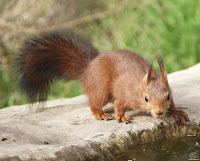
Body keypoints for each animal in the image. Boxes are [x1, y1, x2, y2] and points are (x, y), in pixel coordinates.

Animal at [14, 29, 189, 124]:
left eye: (167, 96)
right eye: (146, 98)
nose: (159, 112)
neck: (140, 86)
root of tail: (87, 69)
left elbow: (173, 104)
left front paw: (176, 112)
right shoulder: (124, 95)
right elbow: (119, 105)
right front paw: (122, 118)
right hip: (101, 89)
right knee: (94, 103)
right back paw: (101, 114)